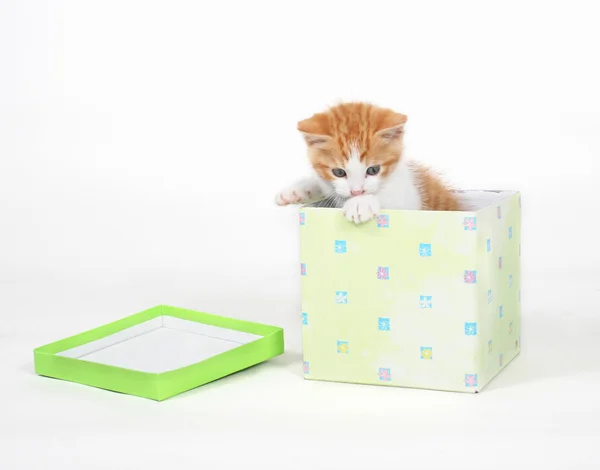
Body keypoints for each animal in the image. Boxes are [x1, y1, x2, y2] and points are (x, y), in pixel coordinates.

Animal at [276, 102, 460, 223]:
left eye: (373, 170)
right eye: (339, 172)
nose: (357, 192)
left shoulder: (411, 202)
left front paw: (360, 203)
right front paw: (296, 190)